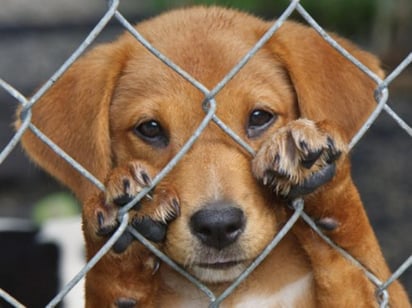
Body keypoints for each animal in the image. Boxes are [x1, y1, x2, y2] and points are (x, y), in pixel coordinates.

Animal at [15, 6, 408, 306]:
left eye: (260, 117)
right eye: (150, 128)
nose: (218, 226)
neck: (231, 289)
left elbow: (356, 262)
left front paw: (319, 175)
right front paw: (122, 234)